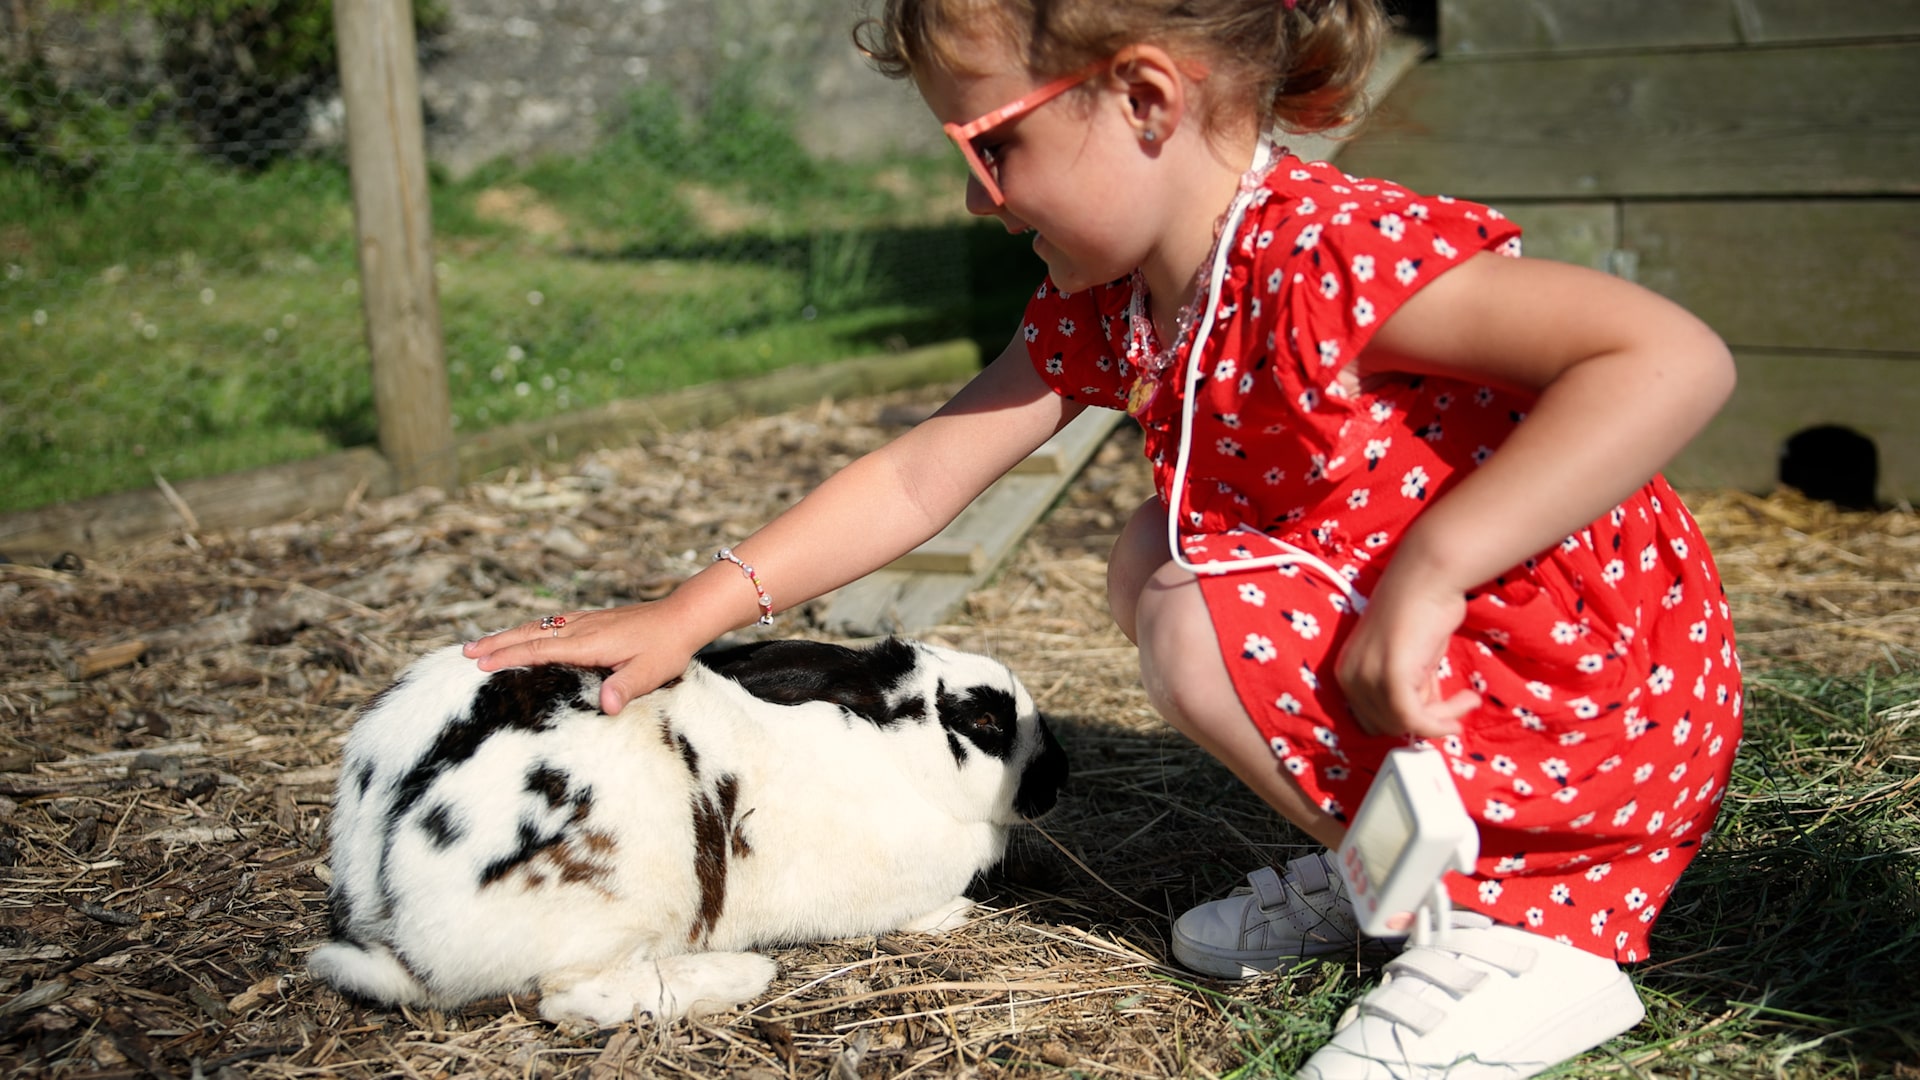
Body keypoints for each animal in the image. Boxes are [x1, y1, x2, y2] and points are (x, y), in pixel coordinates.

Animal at [307, 634, 1075, 1022]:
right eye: (983, 721)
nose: (1059, 773)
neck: (900, 759)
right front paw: (955, 913)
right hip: (615, 903)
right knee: (567, 995)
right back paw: (739, 975)